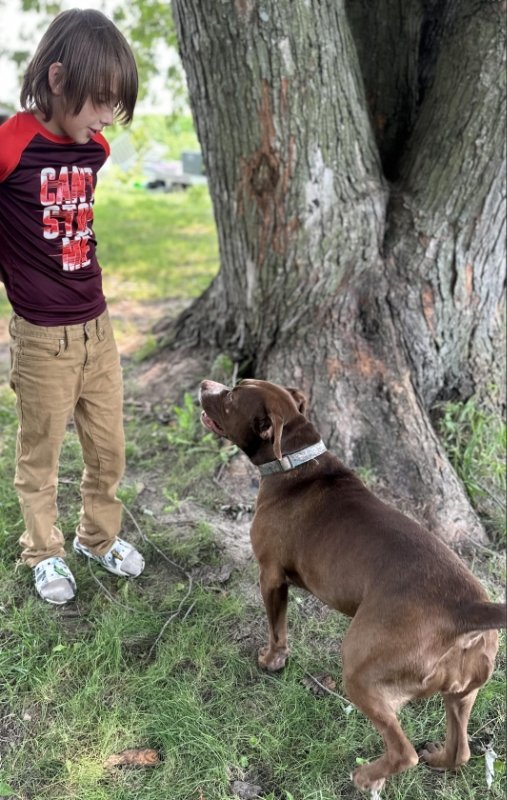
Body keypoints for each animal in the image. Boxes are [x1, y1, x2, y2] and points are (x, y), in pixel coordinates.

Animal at [200, 382, 506, 792]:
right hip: (462, 694)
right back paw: (438, 758)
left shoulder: (270, 576)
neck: (296, 459)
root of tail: (468, 611)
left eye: (233, 395)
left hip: (361, 670)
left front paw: (271, 660)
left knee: (402, 752)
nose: (205, 385)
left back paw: (366, 776)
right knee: (461, 750)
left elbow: (277, 628)